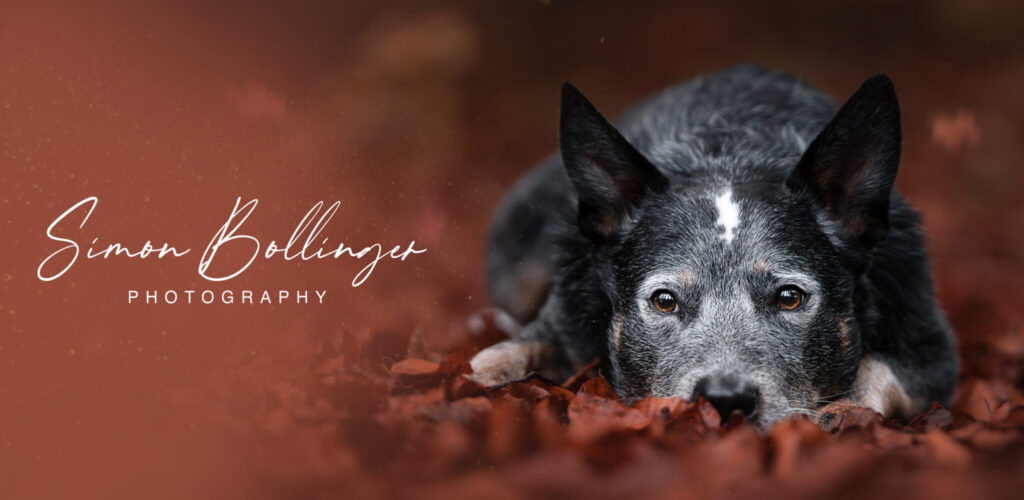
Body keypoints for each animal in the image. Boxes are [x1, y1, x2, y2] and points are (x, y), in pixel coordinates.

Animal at [473, 63, 958, 430]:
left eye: (789, 297)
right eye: (664, 300)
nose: (726, 399)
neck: (730, 154)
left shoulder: (932, 347)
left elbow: (879, 369)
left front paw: (842, 410)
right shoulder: (564, 317)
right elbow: (500, 356)